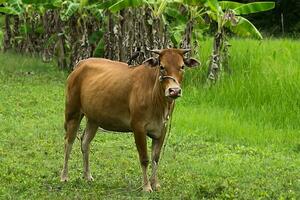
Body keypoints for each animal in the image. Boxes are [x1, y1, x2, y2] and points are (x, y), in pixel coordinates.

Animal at [60, 48, 199, 192]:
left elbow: (156, 158)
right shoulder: (138, 127)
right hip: (72, 112)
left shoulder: (162, 129)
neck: (157, 101)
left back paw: (87, 176)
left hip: (94, 119)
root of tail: (80, 64)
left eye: (182, 67)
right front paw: (146, 186)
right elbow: (144, 159)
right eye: (162, 66)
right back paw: (64, 176)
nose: (174, 91)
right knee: (68, 142)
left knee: (85, 142)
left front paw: (156, 184)